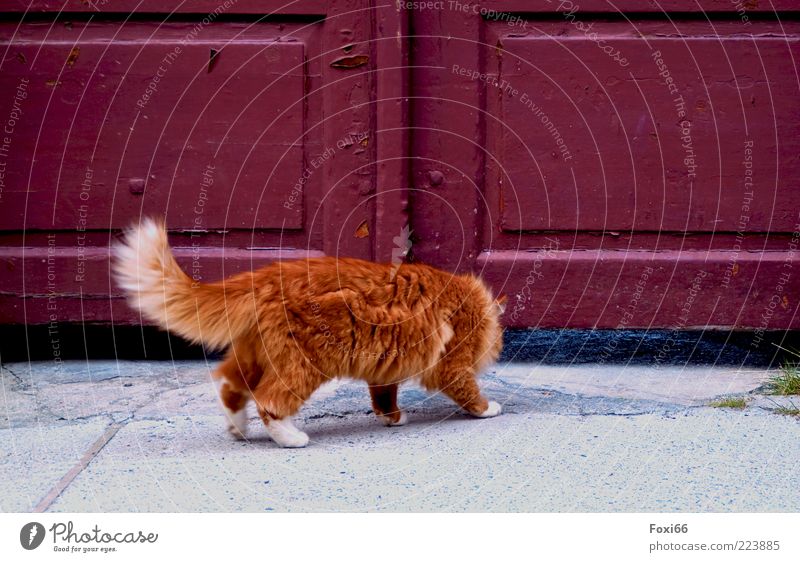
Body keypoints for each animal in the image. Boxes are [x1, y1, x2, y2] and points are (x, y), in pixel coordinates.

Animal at [115, 219, 506, 446]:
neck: (471, 304)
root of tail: (268, 276)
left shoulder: (385, 369)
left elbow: (383, 398)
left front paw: (392, 419)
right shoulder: (452, 365)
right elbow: (469, 392)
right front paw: (488, 409)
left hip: (256, 357)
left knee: (229, 385)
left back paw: (238, 429)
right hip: (303, 366)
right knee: (268, 403)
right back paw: (291, 438)